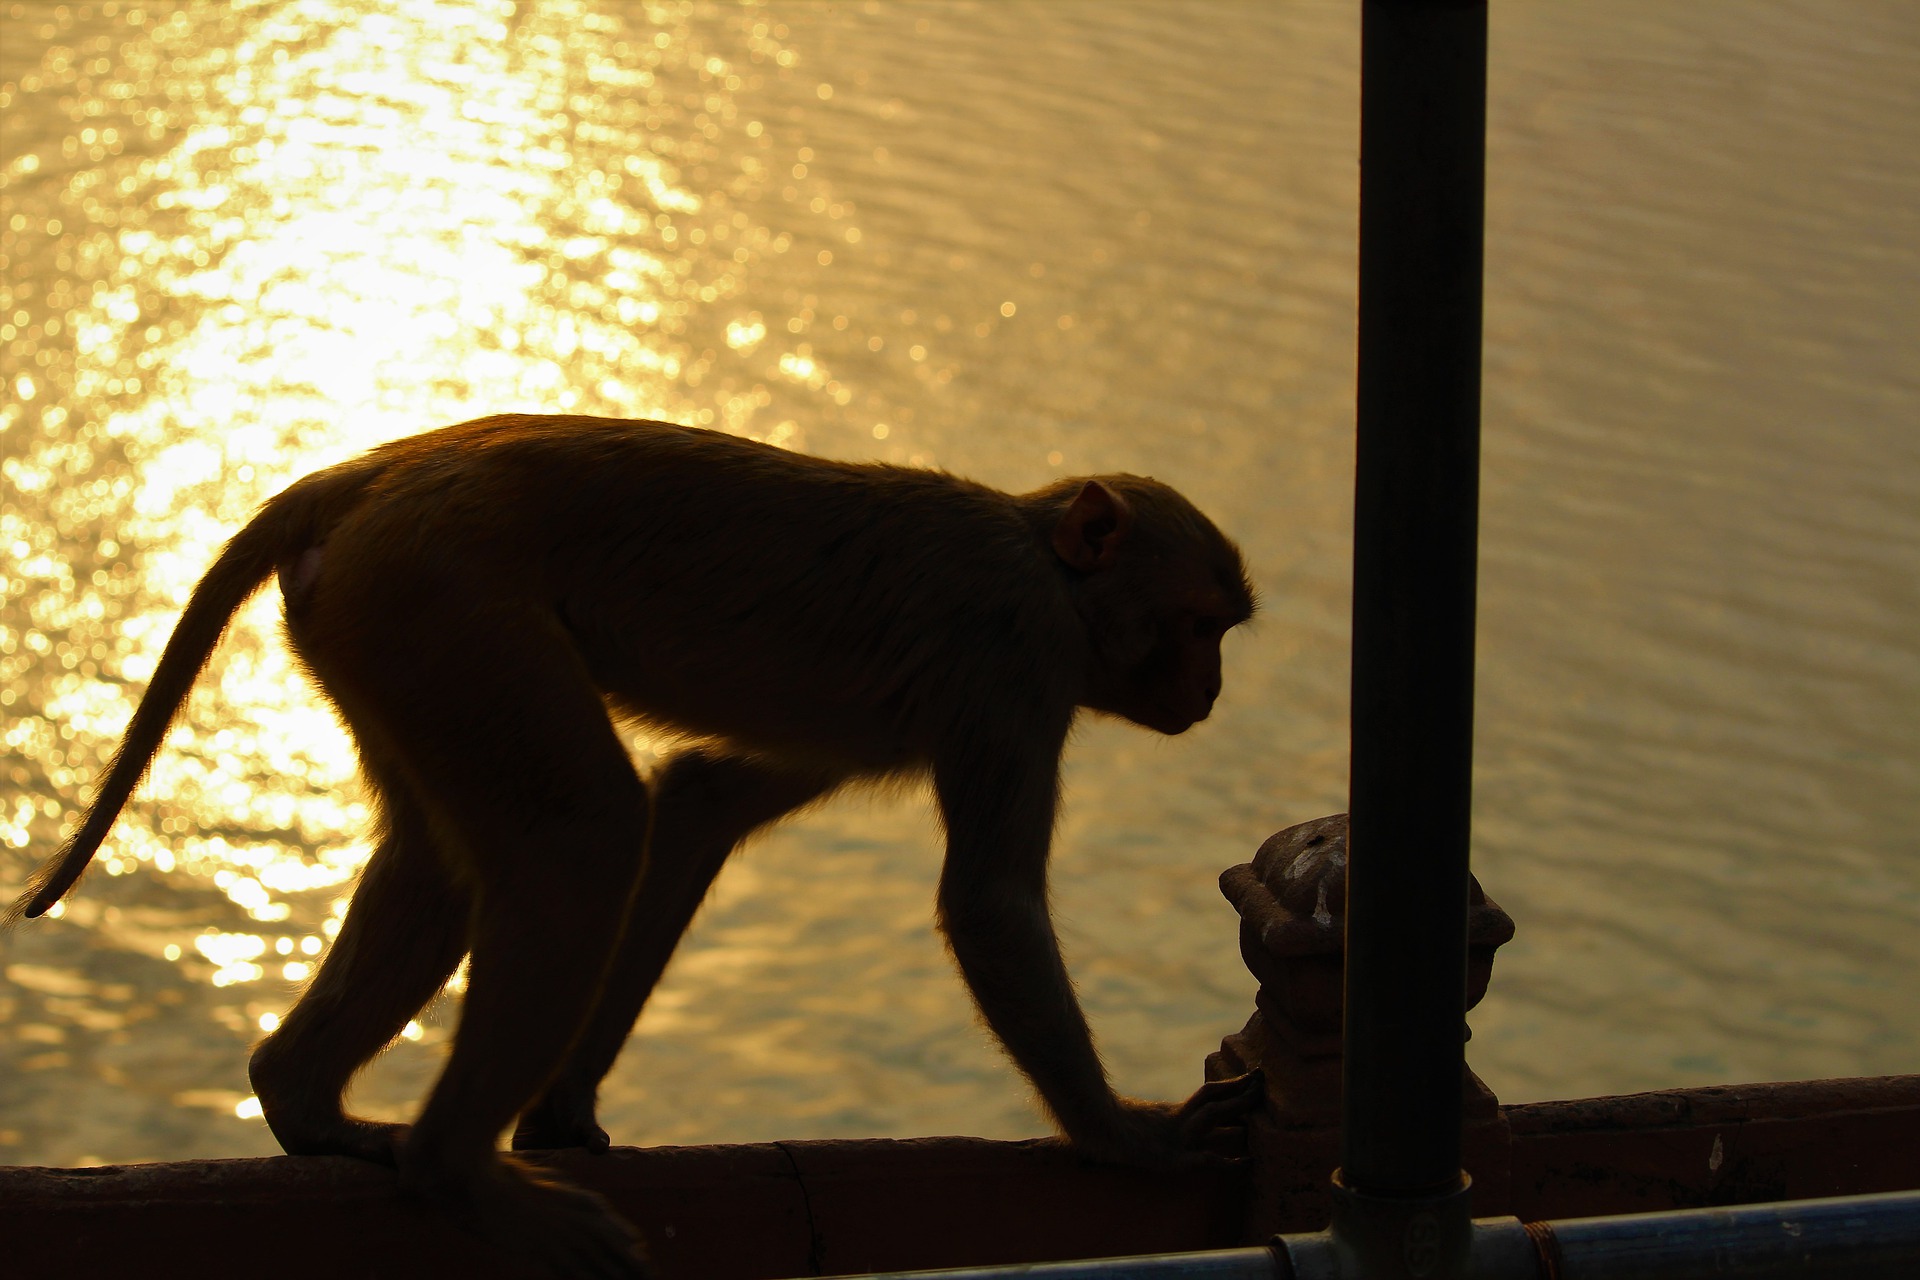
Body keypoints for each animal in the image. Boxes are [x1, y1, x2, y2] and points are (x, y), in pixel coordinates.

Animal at [8, 414, 1263, 1278]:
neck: (1042, 556)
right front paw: (1126, 1137)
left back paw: (309, 1098)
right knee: (580, 834)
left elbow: (702, 798)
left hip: (378, 627)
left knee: (457, 861)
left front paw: (563, 1109)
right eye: (1201, 624)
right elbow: (991, 901)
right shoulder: (1016, 660)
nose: (1209, 690)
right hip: (441, 594)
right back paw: (455, 1167)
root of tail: (369, 471)